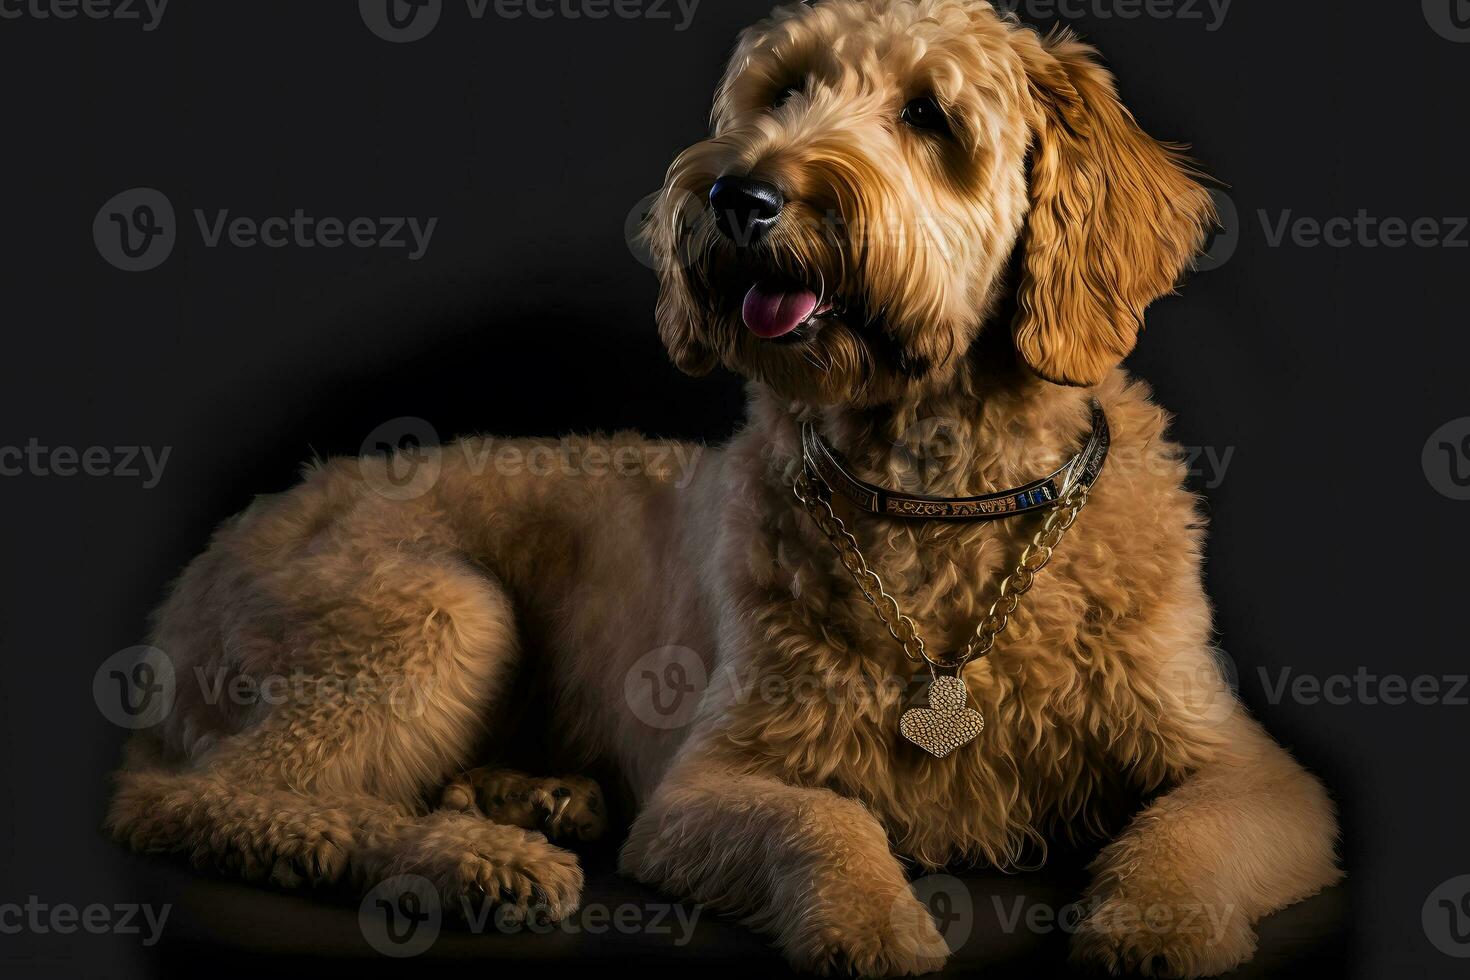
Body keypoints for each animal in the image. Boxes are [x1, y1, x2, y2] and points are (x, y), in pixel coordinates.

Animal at [106, 3, 1346, 975]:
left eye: (929, 116)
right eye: (784, 88)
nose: (743, 193)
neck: (939, 497)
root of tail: (191, 585)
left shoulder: (1252, 768)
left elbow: (1190, 832)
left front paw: (1156, 925)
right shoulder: (709, 785)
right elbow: (826, 826)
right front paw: (870, 924)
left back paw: (530, 799)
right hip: (433, 609)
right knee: (213, 799)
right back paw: (474, 859)